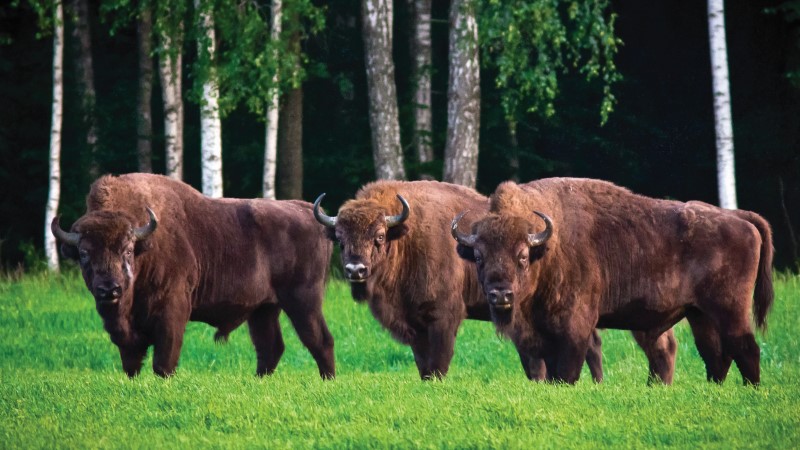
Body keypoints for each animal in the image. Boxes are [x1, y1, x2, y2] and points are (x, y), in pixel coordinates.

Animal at [52, 173, 335, 378]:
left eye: (128, 249)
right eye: (84, 253)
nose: (109, 289)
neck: (147, 245)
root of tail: (308, 210)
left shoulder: (173, 312)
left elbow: (164, 361)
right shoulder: (125, 332)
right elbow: (131, 362)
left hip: (303, 301)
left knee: (320, 340)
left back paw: (327, 380)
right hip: (264, 309)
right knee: (270, 347)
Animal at [453, 178, 772, 385]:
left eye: (522, 256)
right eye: (478, 257)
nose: (500, 295)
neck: (547, 249)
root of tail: (738, 217)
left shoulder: (574, 329)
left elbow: (566, 372)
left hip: (730, 310)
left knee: (746, 348)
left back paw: (751, 390)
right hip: (699, 314)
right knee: (715, 354)